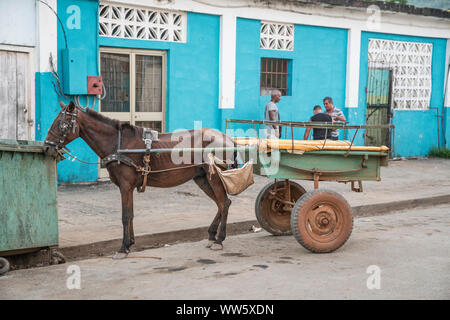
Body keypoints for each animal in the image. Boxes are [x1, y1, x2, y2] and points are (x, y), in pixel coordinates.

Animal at [44, 101, 237, 258]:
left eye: (62, 124)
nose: (47, 147)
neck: (119, 144)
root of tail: (228, 138)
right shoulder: (128, 187)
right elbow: (131, 215)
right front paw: (130, 244)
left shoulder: (125, 186)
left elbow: (125, 216)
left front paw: (123, 248)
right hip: (202, 178)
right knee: (222, 203)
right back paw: (212, 235)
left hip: (214, 176)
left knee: (223, 203)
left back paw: (219, 239)